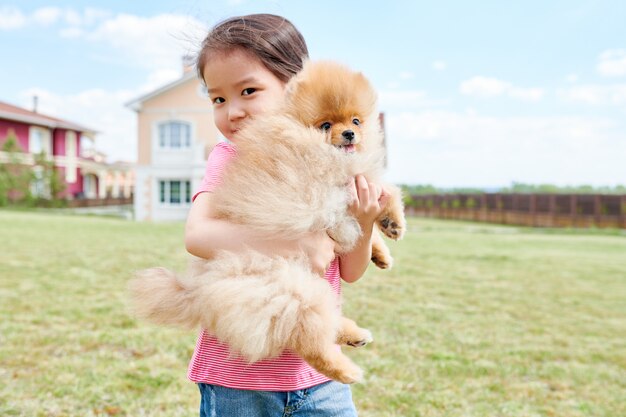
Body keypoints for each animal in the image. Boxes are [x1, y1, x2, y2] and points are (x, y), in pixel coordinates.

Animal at [130, 60, 408, 382]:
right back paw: (345, 369)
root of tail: (199, 289)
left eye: (356, 121)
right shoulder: (335, 193)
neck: (302, 134)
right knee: (308, 335)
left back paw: (354, 335)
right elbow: (385, 192)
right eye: (326, 125)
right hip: (289, 288)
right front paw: (392, 223)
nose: (349, 134)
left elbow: (373, 213)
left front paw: (384, 245)